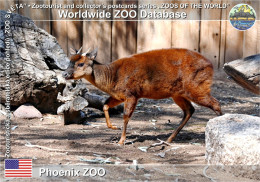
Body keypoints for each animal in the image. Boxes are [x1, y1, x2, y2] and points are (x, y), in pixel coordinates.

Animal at [62, 47, 221, 144]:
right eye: (69, 61)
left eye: (81, 64)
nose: (64, 74)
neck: (113, 77)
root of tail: (211, 65)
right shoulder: (119, 96)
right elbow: (105, 105)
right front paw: (113, 127)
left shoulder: (132, 94)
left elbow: (126, 116)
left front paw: (121, 141)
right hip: (178, 93)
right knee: (190, 110)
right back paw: (169, 139)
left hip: (196, 87)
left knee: (216, 103)